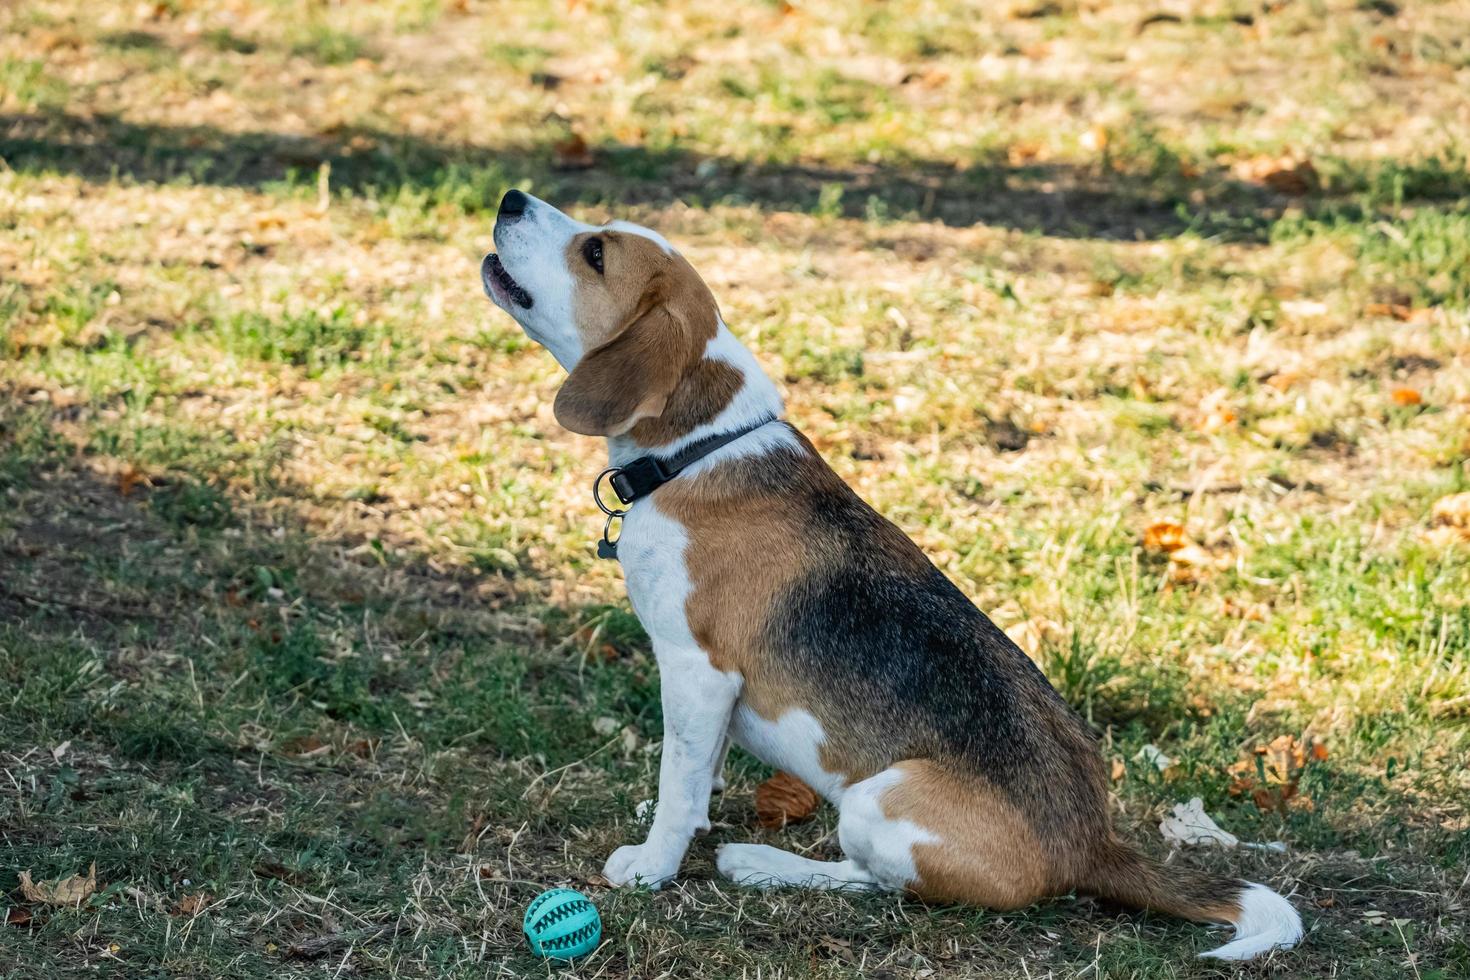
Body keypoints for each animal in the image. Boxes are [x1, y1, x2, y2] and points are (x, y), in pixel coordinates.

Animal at [479, 189, 1299, 957]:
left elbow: (677, 784)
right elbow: (696, 767)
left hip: (882, 799)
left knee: (875, 884)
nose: (512, 199)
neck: (699, 449)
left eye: (595, 254)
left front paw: (653, 864)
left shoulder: (696, 669)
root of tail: (1094, 845)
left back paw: (760, 864)